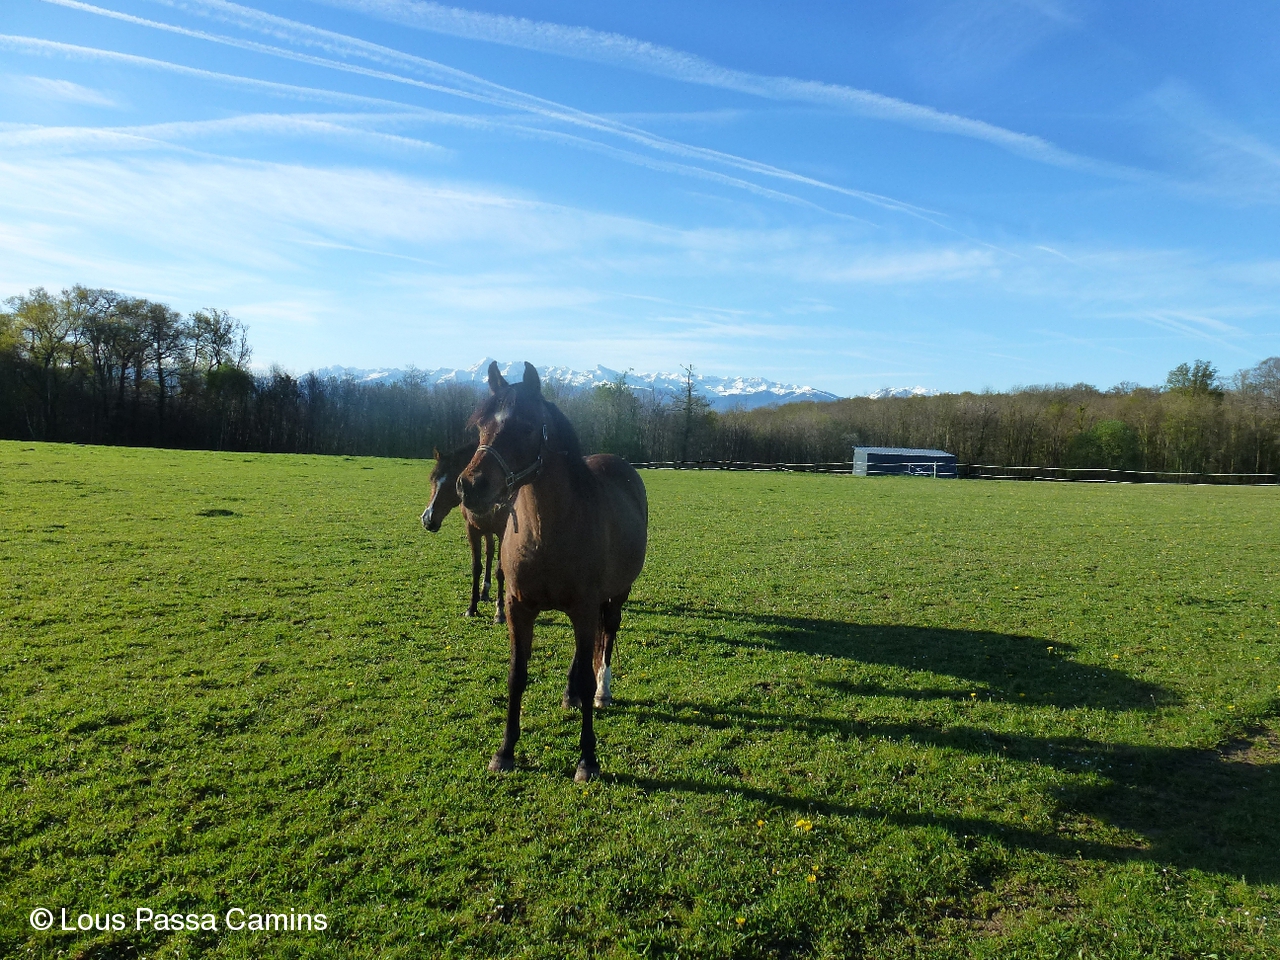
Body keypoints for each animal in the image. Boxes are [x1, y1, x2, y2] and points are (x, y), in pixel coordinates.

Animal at [421, 441, 510, 624]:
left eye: (453, 483)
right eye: (432, 479)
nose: (427, 519)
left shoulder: (503, 531)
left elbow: (500, 570)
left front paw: (500, 612)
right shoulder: (472, 529)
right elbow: (476, 567)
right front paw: (472, 607)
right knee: (489, 551)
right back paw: (484, 592)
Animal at [457, 361, 648, 782]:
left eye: (527, 427)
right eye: (479, 427)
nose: (469, 486)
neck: (548, 530)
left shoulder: (585, 606)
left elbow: (589, 668)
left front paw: (588, 759)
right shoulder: (519, 608)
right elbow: (516, 675)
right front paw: (505, 751)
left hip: (615, 596)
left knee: (606, 639)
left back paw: (601, 692)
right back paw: (570, 694)